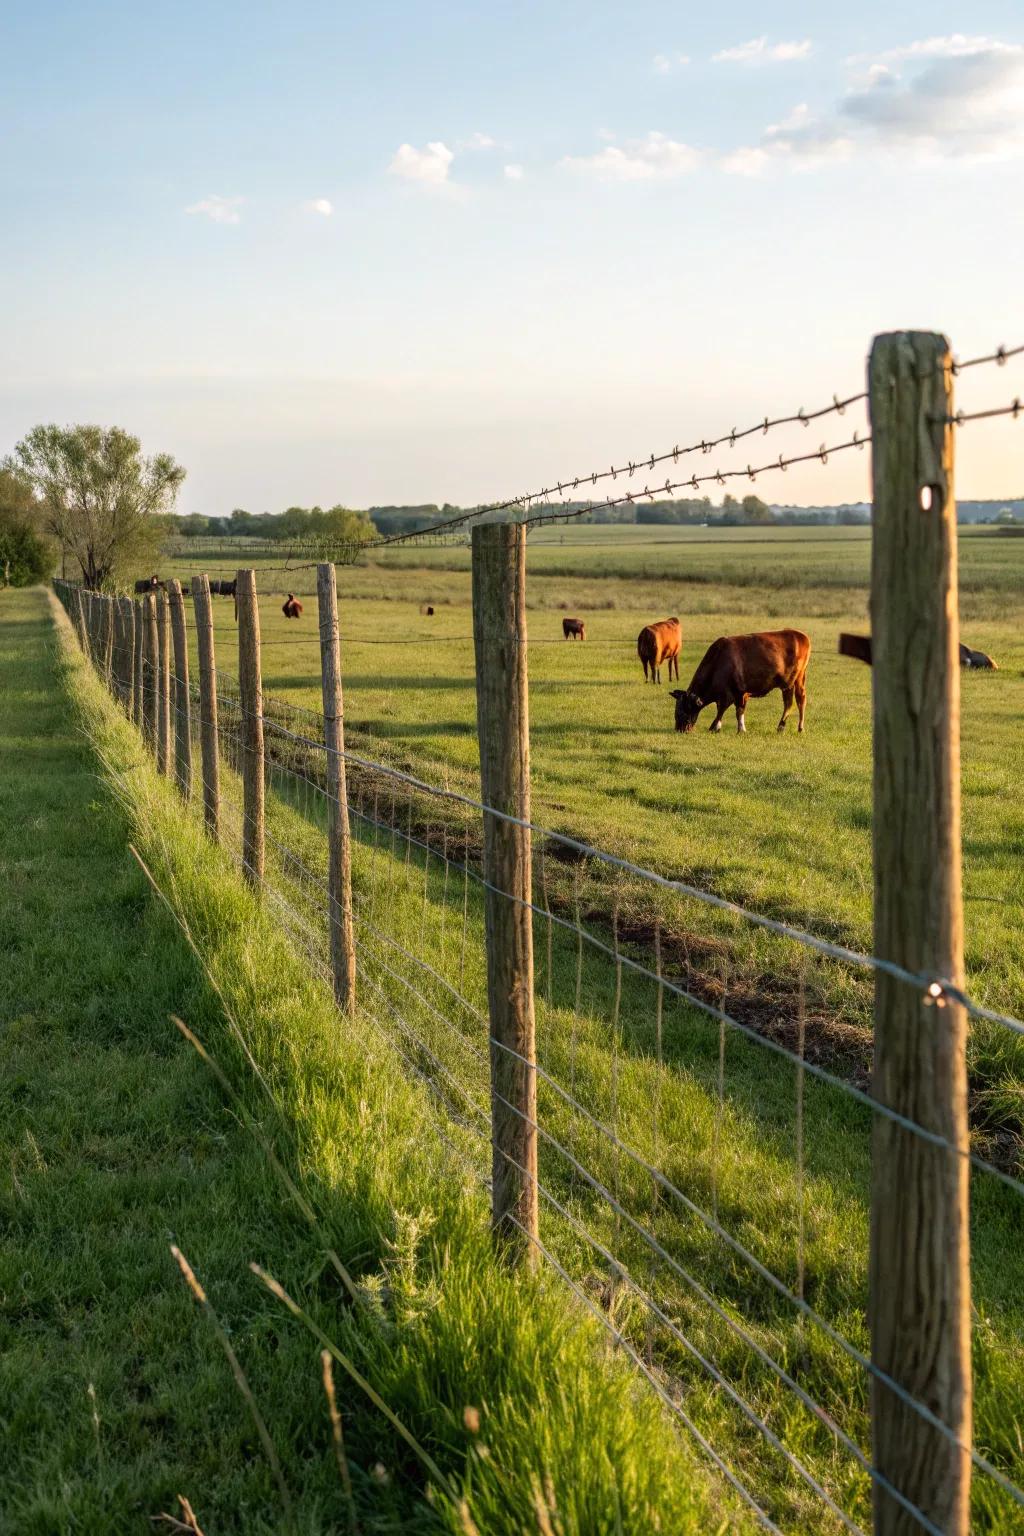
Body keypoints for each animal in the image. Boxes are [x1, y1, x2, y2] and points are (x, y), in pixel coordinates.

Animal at [669, 629, 810, 737]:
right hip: (798, 680)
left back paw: (784, 727)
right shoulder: (738, 694)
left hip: (789, 683)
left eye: (681, 712)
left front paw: (716, 727)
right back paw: (797, 727)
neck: (719, 661)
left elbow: (725, 710)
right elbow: (736, 710)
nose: (679, 730)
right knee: (799, 700)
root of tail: (800, 635)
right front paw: (736, 728)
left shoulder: (732, 694)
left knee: (790, 703)